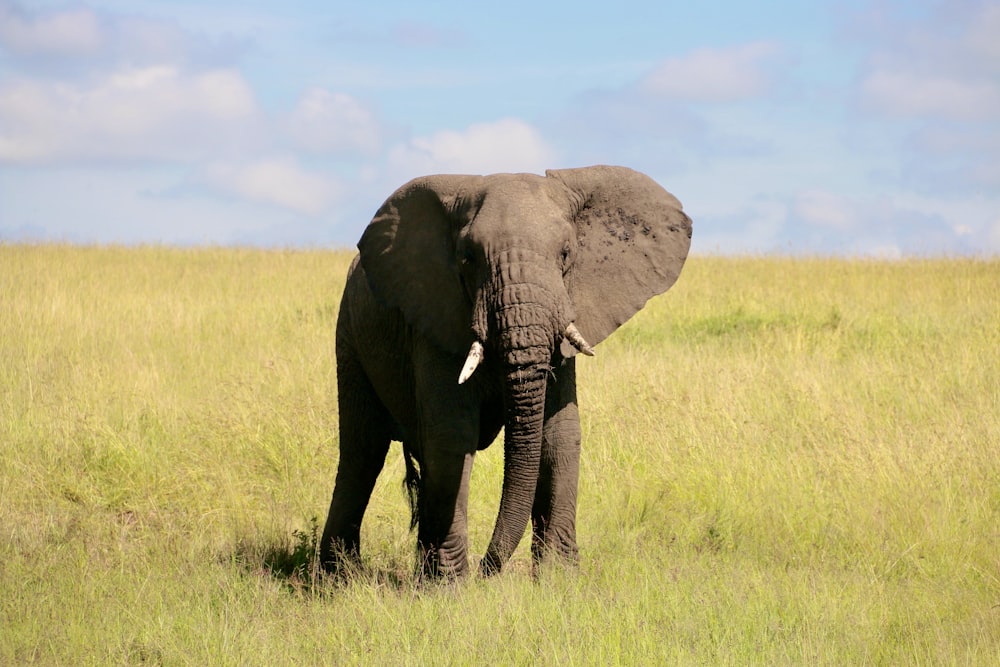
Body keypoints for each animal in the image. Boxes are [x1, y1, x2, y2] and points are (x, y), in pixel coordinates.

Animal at [318, 163, 688, 580]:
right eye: (468, 257)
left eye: (566, 253)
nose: (485, 568)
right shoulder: (434, 316)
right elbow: (452, 434)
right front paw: (450, 586)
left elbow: (559, 434)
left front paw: (558, 580)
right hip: (349, 334)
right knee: (362, 452)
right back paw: (338, 578)